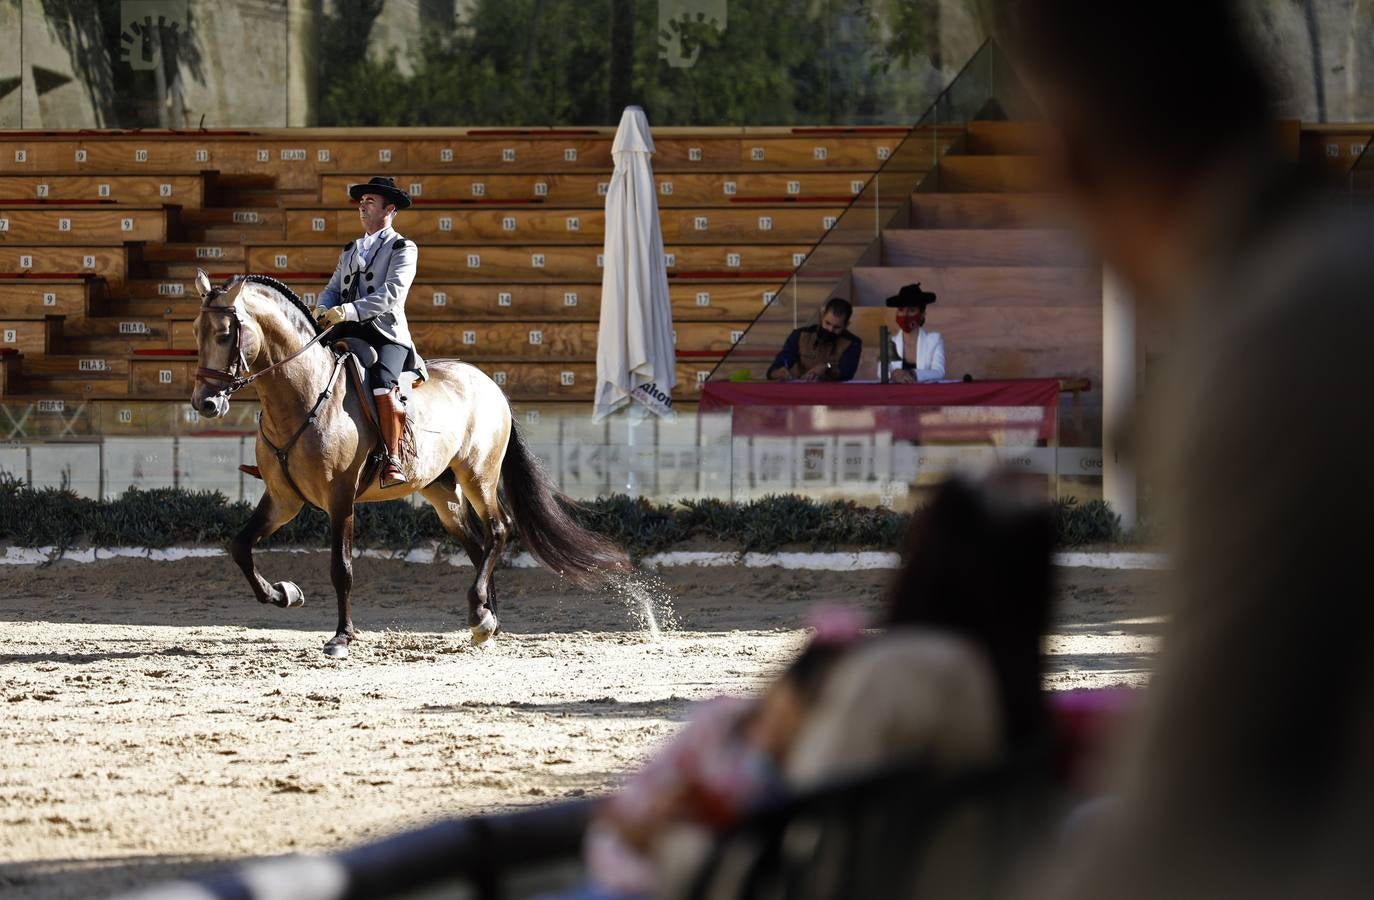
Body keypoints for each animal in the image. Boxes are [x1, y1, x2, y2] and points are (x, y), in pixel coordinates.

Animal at [186, 270, 629, 659]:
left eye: (225, 334)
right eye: (195, 331)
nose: (205, 404)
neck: (303, 395)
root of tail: (488, 383)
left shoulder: (340, 499)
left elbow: (341, 567)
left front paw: (342, 637)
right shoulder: (283, 498)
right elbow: (240, 547)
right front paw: (284, 593)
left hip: (478, 475)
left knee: (499, 530)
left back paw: (482, 614)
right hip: (441, 490)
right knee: (477, 543)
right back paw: (486, 617)